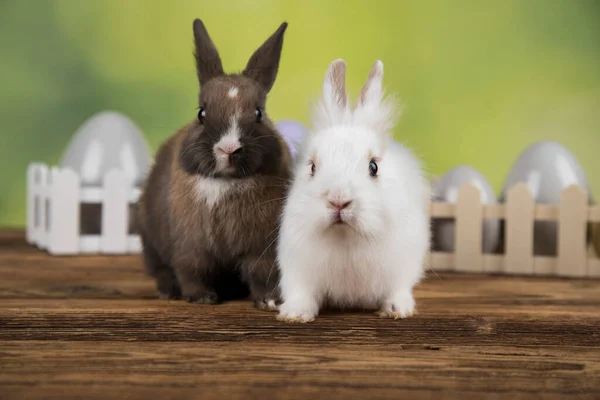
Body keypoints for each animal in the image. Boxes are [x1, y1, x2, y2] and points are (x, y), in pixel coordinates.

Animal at [139, 18, 292, 310]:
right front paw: (202, 298)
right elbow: (193, 271)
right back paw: (168, 291)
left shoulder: (262, 248)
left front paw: (269, 302)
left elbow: (263, 273)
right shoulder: (191, 247)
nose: (228, 148)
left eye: (259, 113)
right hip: (151, 244)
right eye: (201, 113)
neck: (227, 183)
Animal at [274, 58, 428, 322]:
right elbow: (301, 293)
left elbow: (397, 289)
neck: (345, 238)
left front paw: (397, 309)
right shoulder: (298, 269)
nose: (338, 200)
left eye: (373, 166)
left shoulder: (402, 265)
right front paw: (295, 313)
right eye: (312, 167)